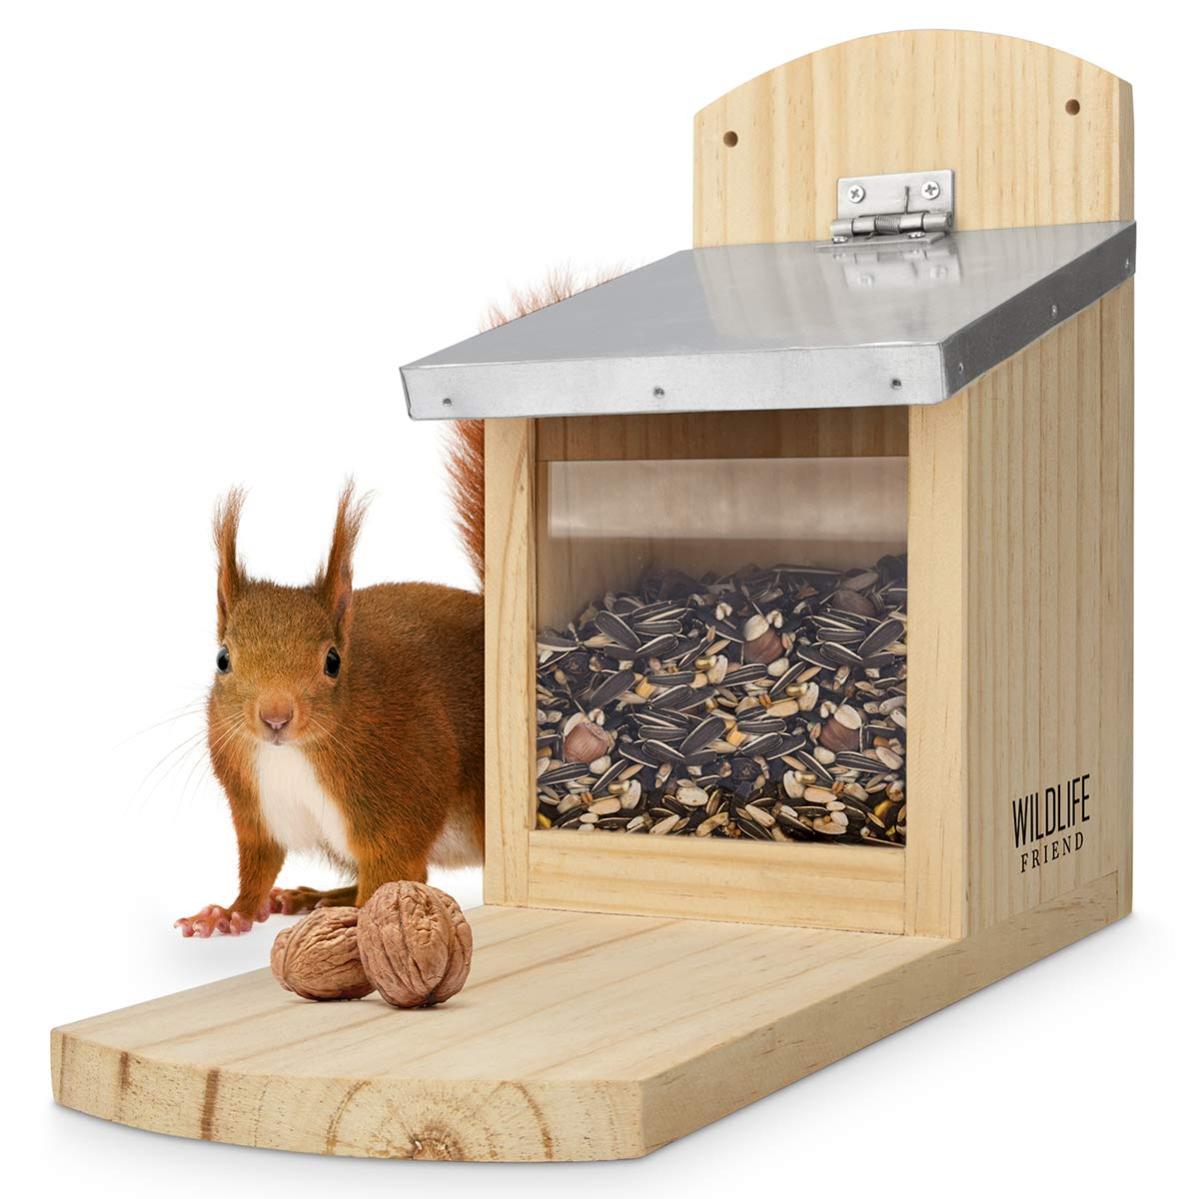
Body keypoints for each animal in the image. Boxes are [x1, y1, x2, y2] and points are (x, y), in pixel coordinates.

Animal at [176, 270, 594, 937]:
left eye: (333, 661)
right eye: (222, 659)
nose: (275, 718)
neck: (293, 757)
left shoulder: (398, 788)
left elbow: (394, 868)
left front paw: (368, 924)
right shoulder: (255, 807)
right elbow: (256, 864)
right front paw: (228, 913)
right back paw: (317, 896)